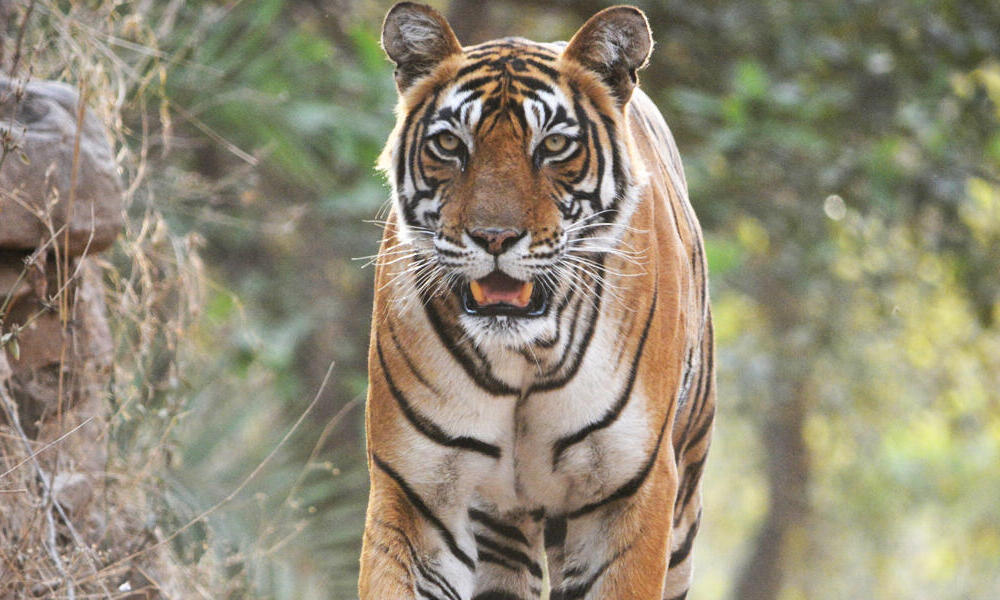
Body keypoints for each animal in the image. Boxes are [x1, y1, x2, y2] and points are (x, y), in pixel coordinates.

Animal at [364, 4, 716, 600]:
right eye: (450, 145)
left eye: (552, 146)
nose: (495, 237)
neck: (521, 357)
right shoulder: (418, 491)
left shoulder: (628, 490)